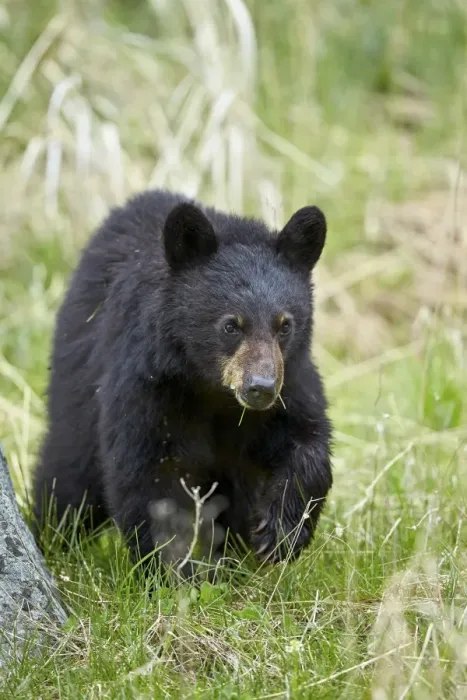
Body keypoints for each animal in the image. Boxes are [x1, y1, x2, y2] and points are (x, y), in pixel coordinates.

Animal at [33, 189, 333, 574]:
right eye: (231, 325)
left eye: (285, 325)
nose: (260, 388)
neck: (213, 390)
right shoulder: (150, 385)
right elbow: (150, 475)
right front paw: (172, 569)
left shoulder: (291, 380)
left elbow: (307, 441)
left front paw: (279, 533)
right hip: (76, 388)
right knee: (68, 477)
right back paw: (53, 539)